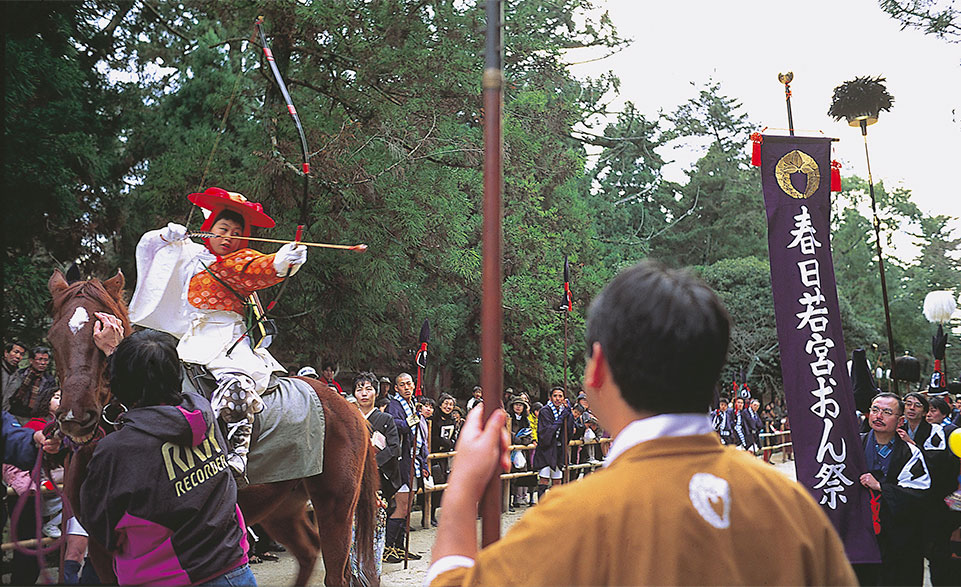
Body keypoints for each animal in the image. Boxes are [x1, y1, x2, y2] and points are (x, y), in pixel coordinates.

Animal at [47, 268, 378, 584]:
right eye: (54, 338)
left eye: (102, 329)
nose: (76, 416)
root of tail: (349, 408)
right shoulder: (101, 547)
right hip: (283, 506)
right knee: (309, 551)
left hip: (335, 505)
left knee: (336, 572)